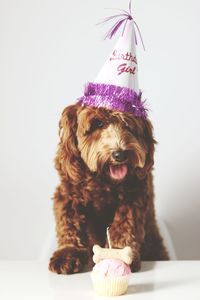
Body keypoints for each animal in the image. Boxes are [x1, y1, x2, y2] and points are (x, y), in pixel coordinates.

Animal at [48, 102, 169, 274]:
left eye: (128, 125)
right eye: (98, 124)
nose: (120, 154)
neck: (104, 182)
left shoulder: (133, 197)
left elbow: (124, 225)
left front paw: (119, 253)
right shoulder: (67, 194)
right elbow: (69, 222)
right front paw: (68, 253)